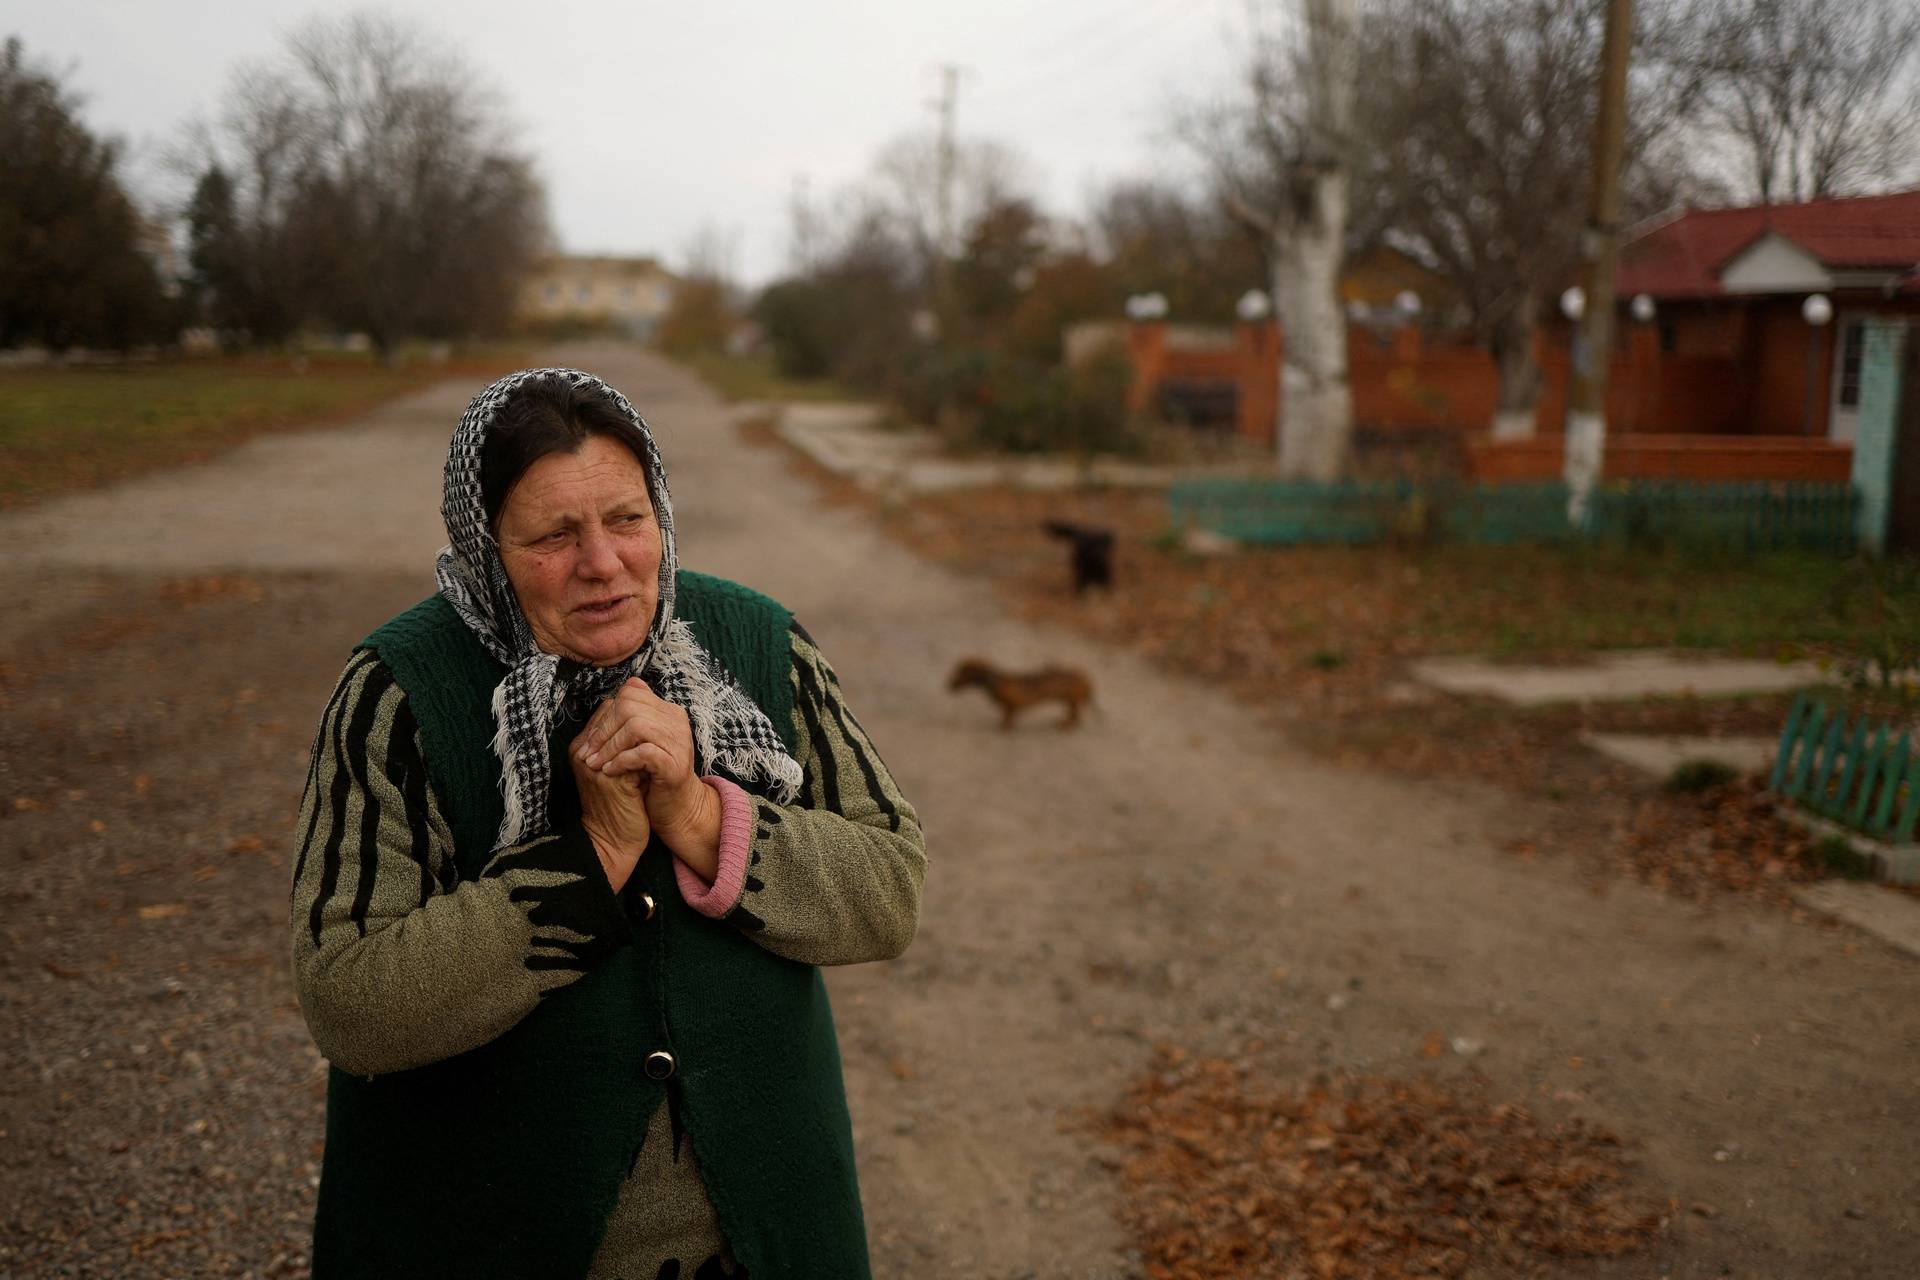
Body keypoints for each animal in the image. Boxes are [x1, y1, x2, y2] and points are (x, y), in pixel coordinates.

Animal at [948, 660, 1098, 729]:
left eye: (959, 674)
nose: (947, 685)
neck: (997, 681)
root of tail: (1087, 680)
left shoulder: (1009, 707)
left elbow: (1008, 719)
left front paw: (1004, 727)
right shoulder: (1009, 707)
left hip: (1072, 700)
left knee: (1075, 716)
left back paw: (1066, 725)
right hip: (1070, 702)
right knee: (1074, 715)